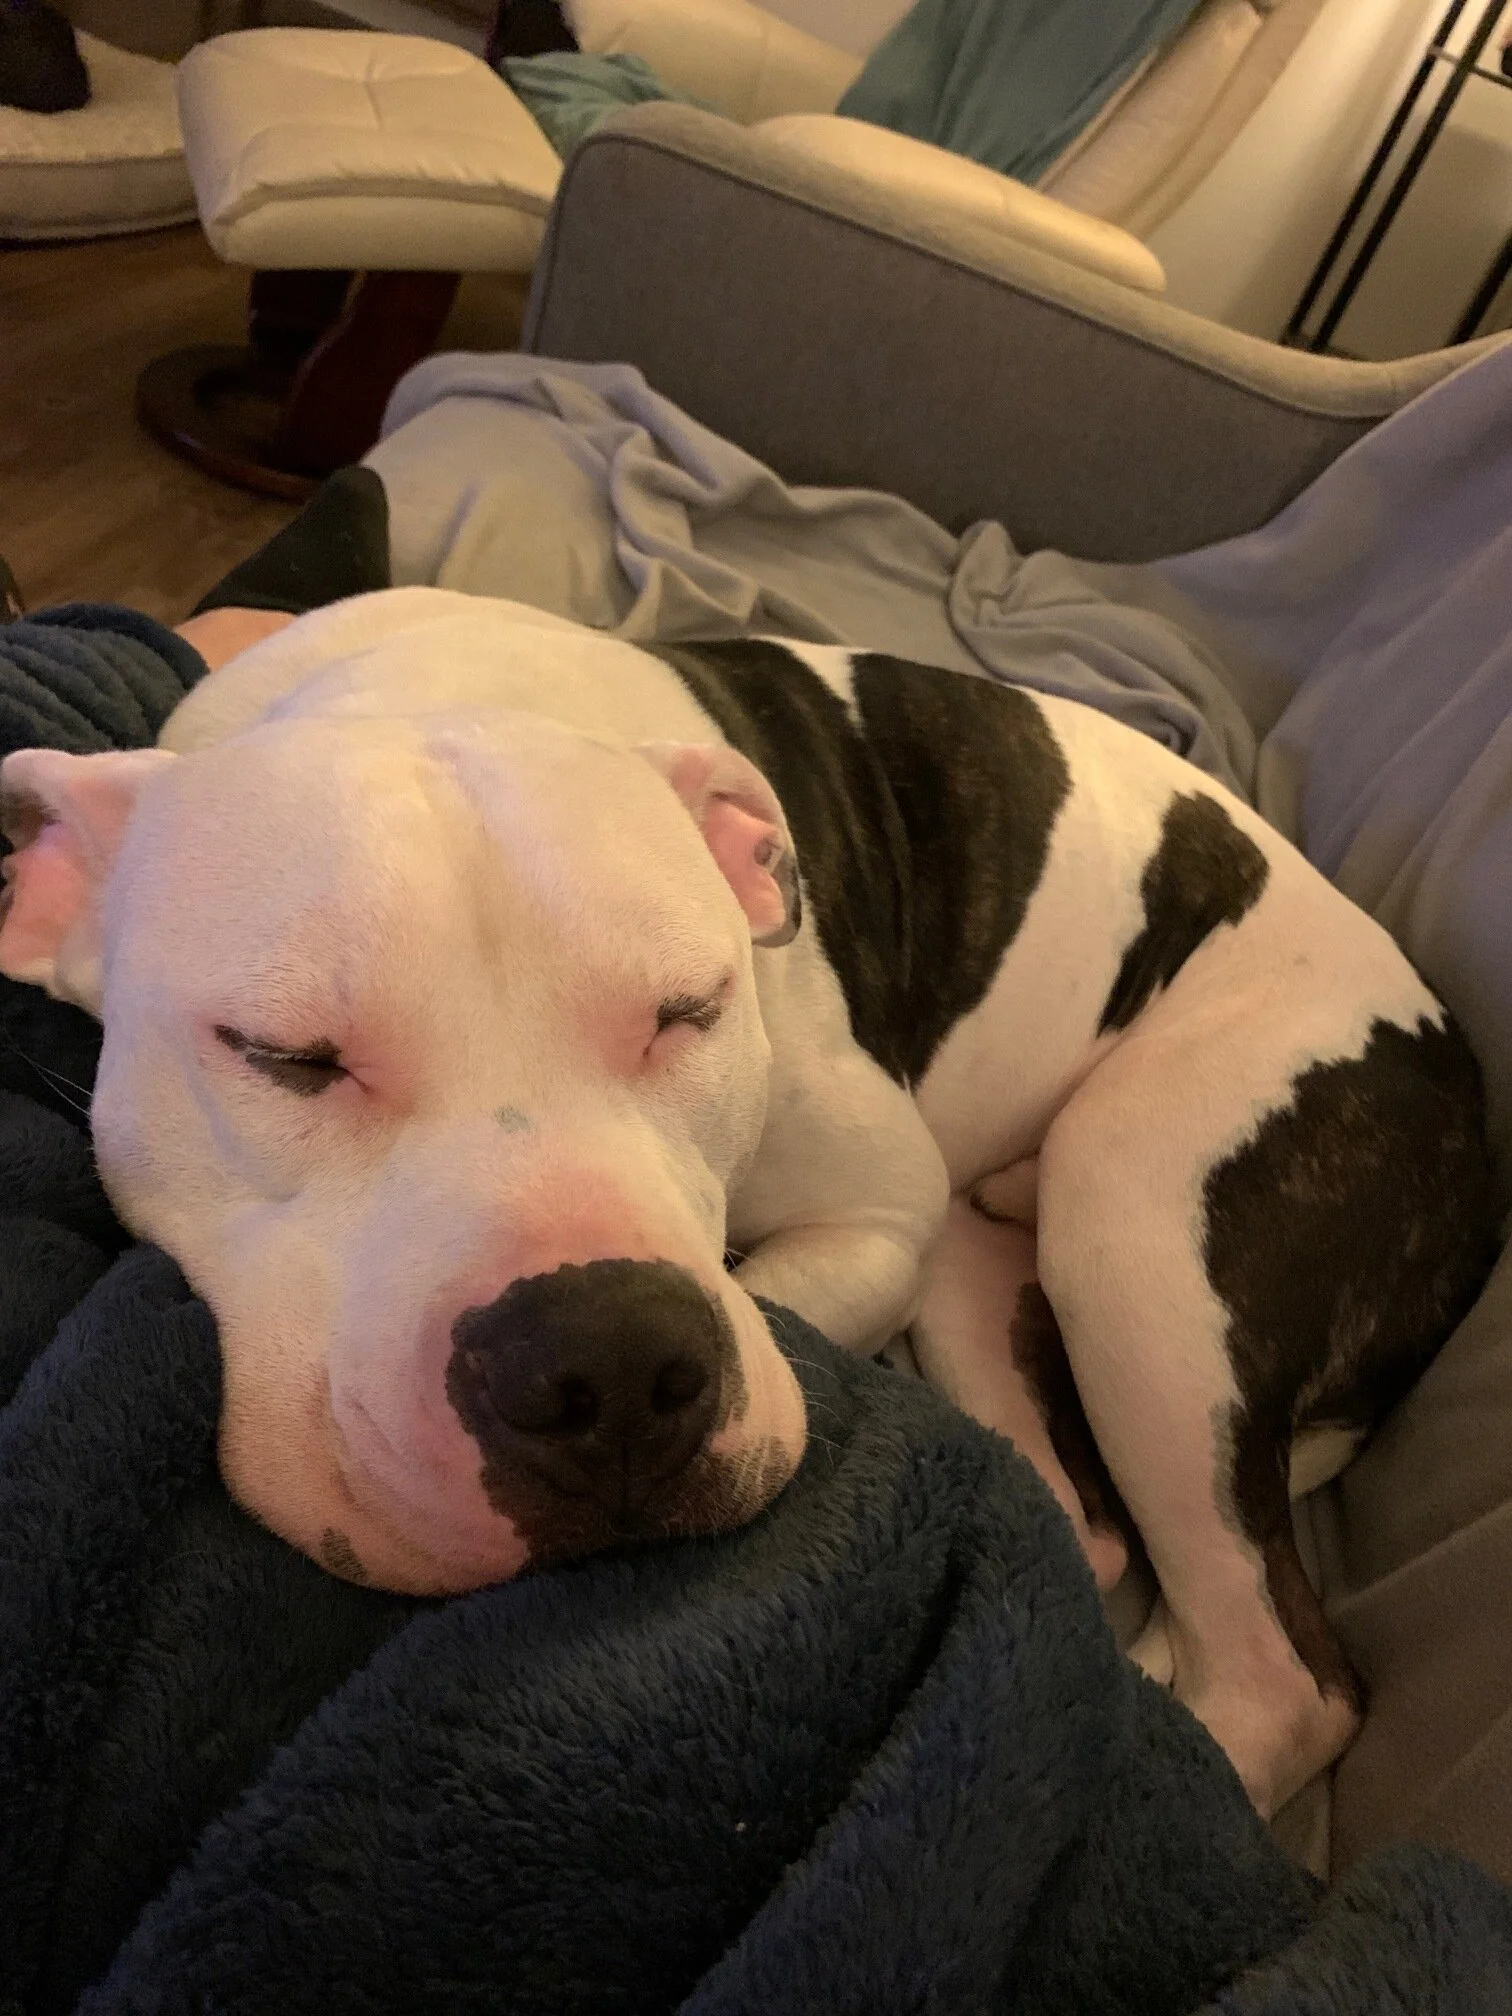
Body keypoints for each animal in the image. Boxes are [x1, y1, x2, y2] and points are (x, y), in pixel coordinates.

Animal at [0, 588, 1495, 1817]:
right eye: (287, 1057)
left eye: (690, 1010)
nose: (604, 1365)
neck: (439, 689)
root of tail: (1460, 1091)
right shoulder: (915, 1226)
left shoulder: (882, 1207)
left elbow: (774, 1300)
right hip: (996, 1266)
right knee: (1078, 1522)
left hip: (1139, 1235)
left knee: (1284, 1682)